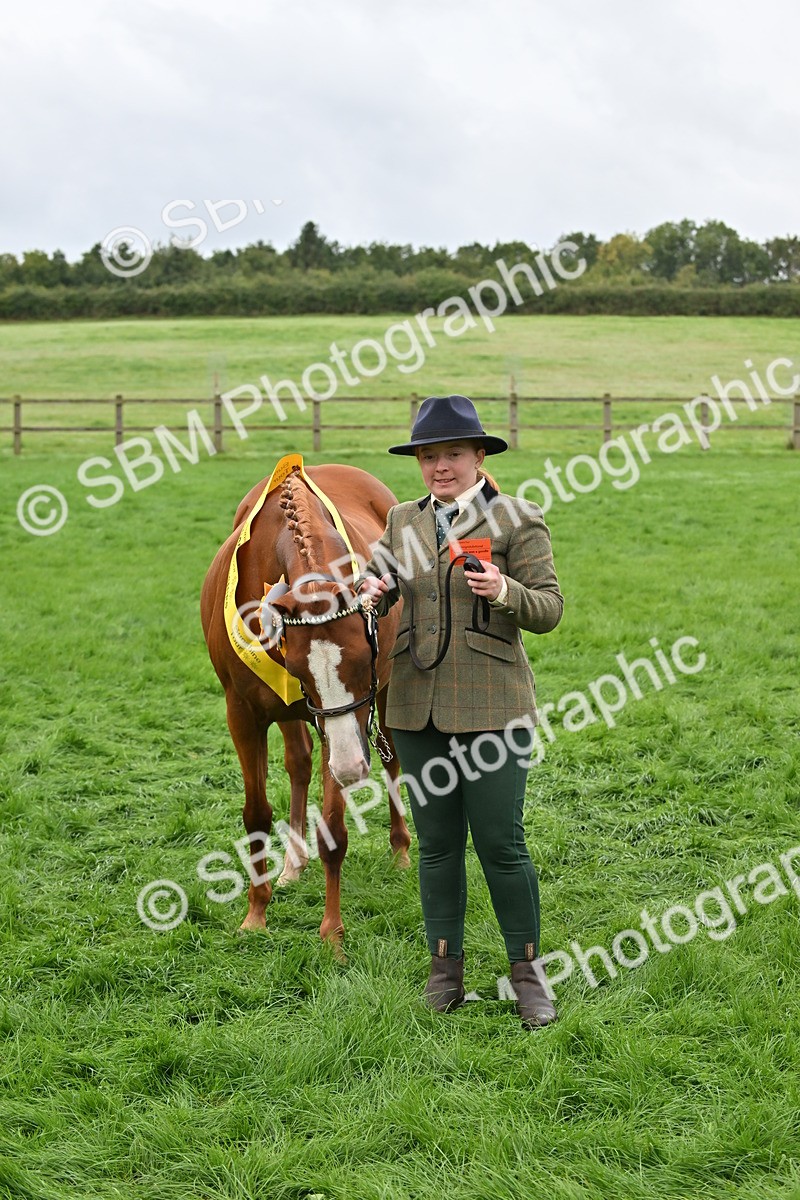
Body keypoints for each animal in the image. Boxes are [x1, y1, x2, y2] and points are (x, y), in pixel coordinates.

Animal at [200, 460, 411, 946]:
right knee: (299, 760)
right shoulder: (244, 713)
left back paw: (401, 850)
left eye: (365, 657)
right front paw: (255, 914)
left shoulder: (347, 719)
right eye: (299, 668)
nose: (352, 767)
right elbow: (257, 815)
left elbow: (332, 828)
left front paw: (332, 931)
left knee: (390, 757)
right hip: (289, 712)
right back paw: (292, 864)